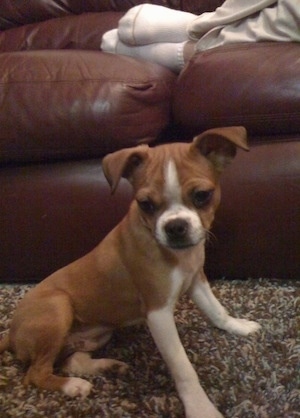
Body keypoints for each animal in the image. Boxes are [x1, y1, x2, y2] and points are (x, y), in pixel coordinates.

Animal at [0, 126, 260, 418]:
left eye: (202, 195)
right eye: (145, 204)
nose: (175, 227)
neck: (178, 257)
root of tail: (11, 334)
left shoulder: (196, 280)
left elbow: (216, 310)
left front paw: (237, 326)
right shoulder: (158, 313)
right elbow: (183, 367)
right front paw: (200, 407)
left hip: (96, 335)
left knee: (71, 360)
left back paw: (106, 367)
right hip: (58, 307)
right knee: (36, 373)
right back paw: (73, 386)